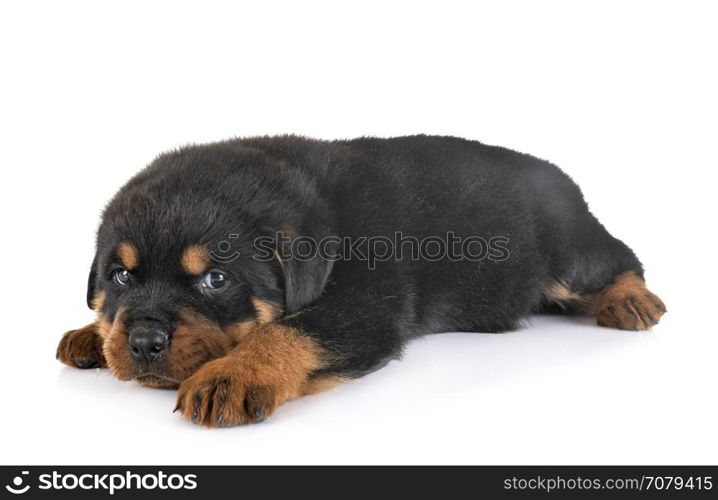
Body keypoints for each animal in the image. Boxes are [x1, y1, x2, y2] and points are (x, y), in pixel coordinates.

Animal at [57, 135, 668, 428]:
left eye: (214, 279)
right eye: (120, 276)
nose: (143, 342)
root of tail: (562, 175)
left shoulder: (368, 304)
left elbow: (290, 330)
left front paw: (232, 374)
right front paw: (91, 334)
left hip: (568, 249)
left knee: (618, 258)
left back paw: (633, 302)